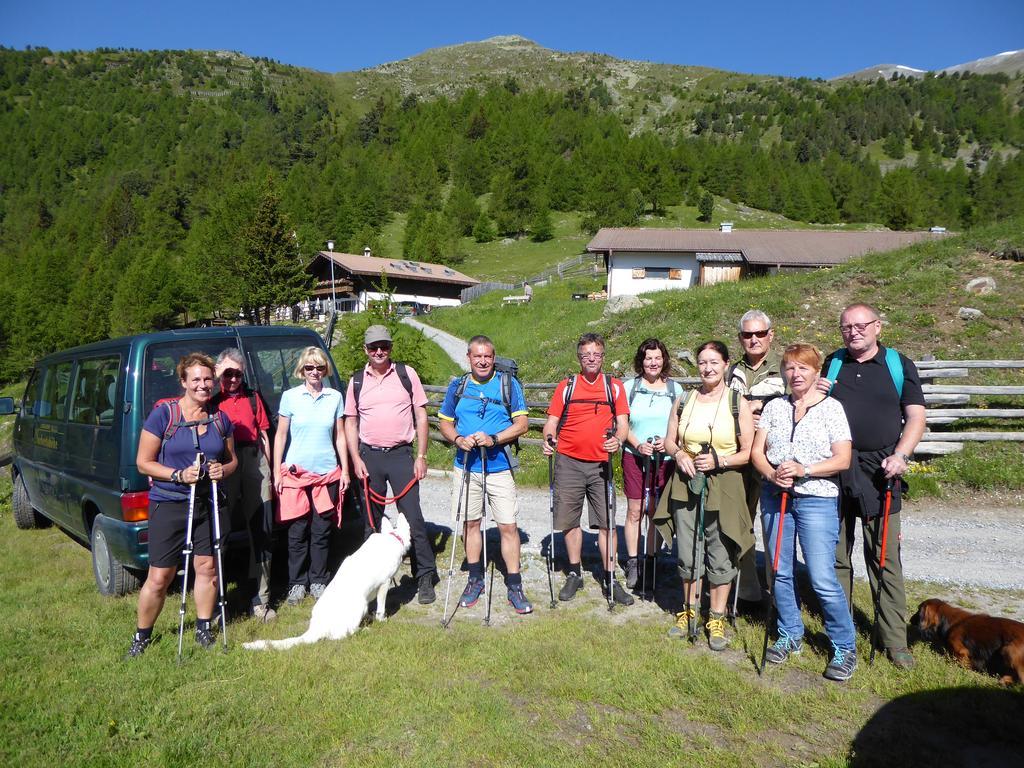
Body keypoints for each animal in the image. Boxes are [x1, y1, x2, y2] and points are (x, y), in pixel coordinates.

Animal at [241, 514, 409, 651]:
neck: (393, 538)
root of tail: (316, 628)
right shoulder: (385, 583)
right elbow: (381, 608)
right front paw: (382, 619)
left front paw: (372, 617)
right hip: (360, 605)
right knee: (343, 634)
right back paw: (364, 630)